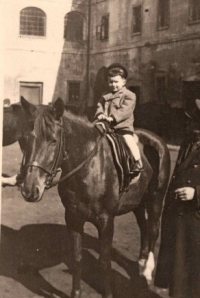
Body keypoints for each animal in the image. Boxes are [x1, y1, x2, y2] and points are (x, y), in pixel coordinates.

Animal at [20, 98, 170, 298]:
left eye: (53, 140)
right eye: (25, 140)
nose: (29, 189)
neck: (89, 167)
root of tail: (156, 139)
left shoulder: (106, 221)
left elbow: (104, 262)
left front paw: (108, 293)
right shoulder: (73, 217)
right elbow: (77, 257)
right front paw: (76, 293)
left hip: (156, 198)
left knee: (153, 229)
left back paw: (147, 271)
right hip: (138, 203)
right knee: (144, 227)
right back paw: (141, 264)